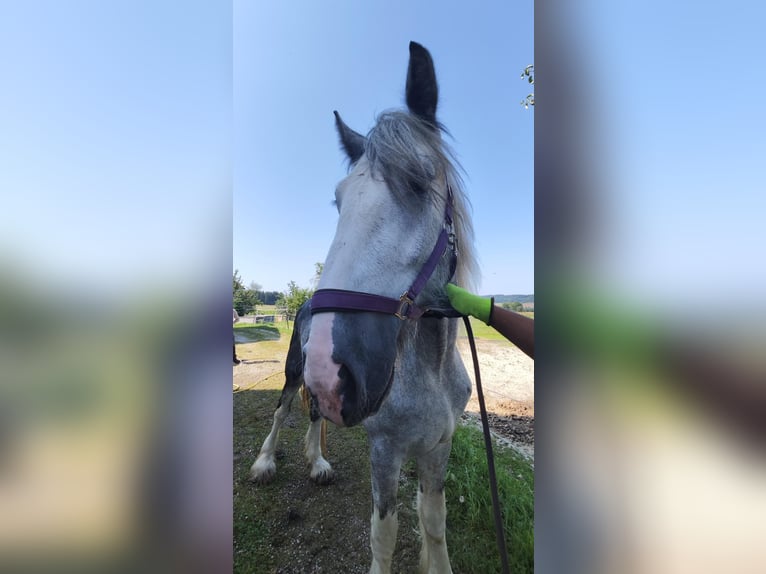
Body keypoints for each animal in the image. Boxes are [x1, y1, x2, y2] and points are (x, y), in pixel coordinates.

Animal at [249, 41, 478, 574]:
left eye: (418, 182)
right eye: (338, 201)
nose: (333, 367)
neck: (429, 370)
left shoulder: (438, 449)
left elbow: (434, 524)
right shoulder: (384, 451)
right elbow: (384, 533)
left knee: (314, 414)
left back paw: (318, 464)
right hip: (295, 370)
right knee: (284, 410)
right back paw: (266, 462)